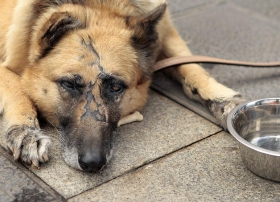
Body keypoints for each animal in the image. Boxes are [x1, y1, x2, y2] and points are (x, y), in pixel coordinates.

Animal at [0, 0, 243, 172]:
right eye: (69, 84)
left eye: (116, 87)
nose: (93, 164)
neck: (99, 3)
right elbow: (17, 87)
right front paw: (26, 132)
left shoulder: (167, 32)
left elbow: (191, 65)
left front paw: (224, 100)